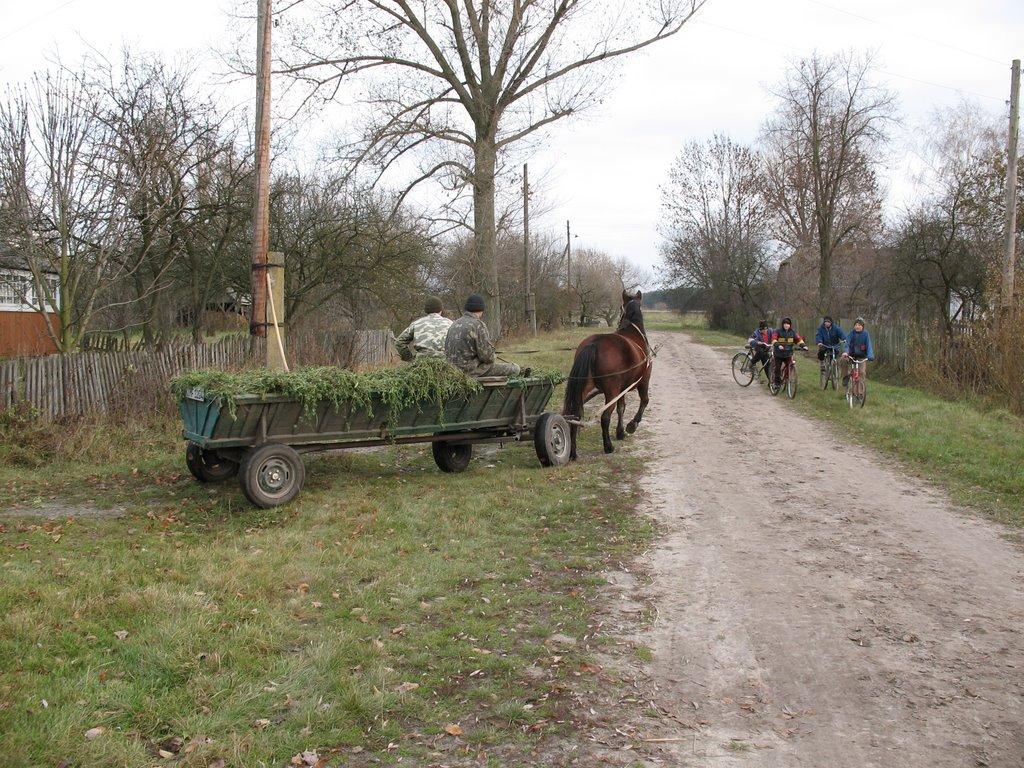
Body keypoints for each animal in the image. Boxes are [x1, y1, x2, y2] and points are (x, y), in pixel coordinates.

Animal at [565, 290, 651, 460]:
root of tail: (595, 343)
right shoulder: (643, 381)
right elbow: (644, 401)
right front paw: (632, 425)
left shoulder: (622, 389)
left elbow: (621, 408)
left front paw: (620, 432)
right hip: (611, 391)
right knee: (605, 417)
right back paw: (608, 446)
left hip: (585, 388)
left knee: (575, 415)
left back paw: (573, 452)